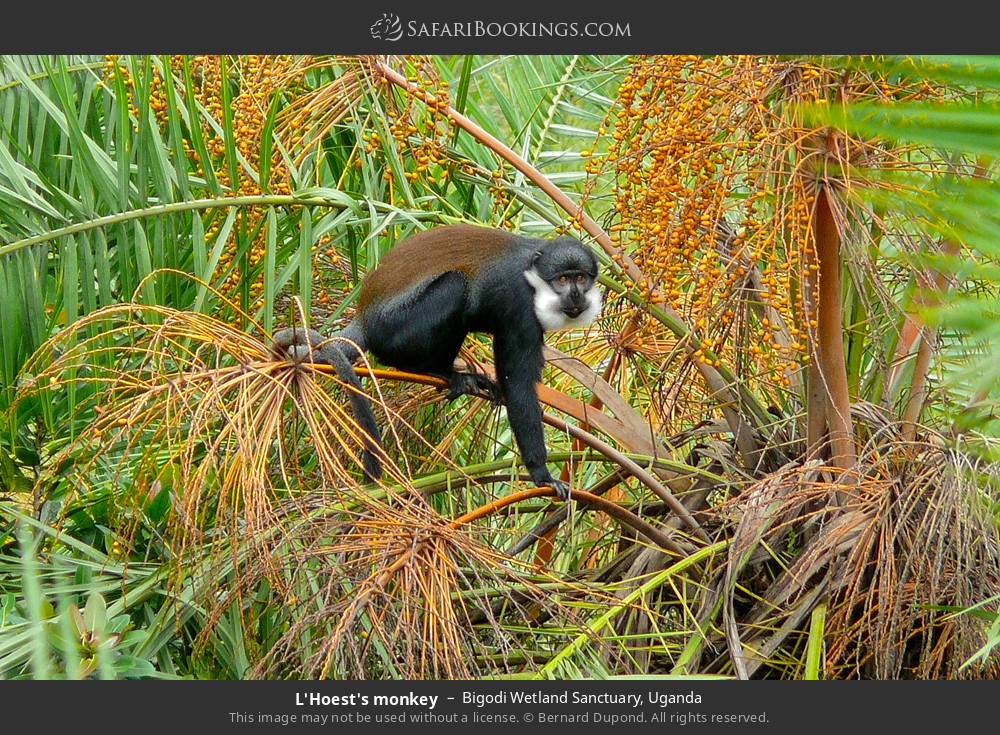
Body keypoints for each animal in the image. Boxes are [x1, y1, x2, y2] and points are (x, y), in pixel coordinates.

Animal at [274, 224, 600, 500]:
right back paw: (432, 370)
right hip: (396, 329)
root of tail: (364, 320)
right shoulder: (519, 304)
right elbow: (518, 382)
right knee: (455, 286)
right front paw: (541, 474)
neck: (533, 277)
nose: (575, 295)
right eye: (562, 279)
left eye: (581, 278)